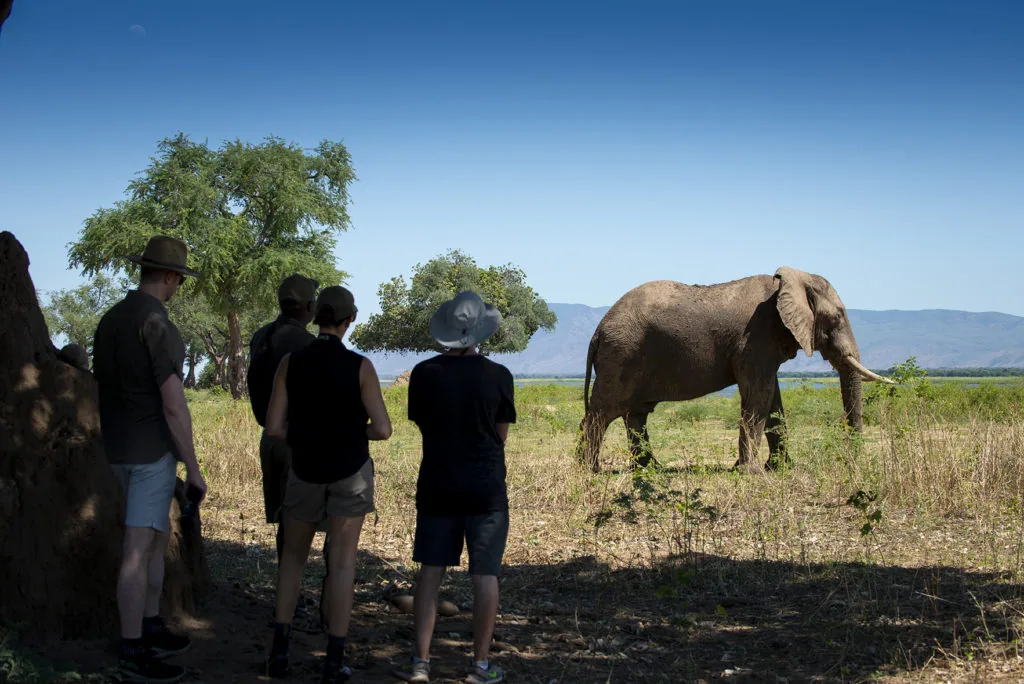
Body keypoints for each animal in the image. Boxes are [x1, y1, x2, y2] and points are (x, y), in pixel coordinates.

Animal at [575, 267, 893, 473]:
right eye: (837, 317)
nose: (852, 461)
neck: (786, 284)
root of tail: (597, 332)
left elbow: (773, 401)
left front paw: (779, 468)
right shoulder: (755, 339)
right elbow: (759, 397)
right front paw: (752, 472)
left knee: (636, 415)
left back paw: (649, 469)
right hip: (622, 356)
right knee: (602, 413)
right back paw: (589, 470)